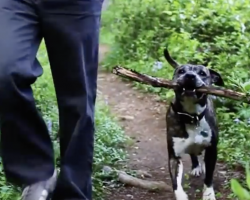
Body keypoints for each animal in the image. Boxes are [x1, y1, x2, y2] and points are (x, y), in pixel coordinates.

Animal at [164, 48, 225, 200]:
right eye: (181, 71)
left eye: (202, 73)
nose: (190, 76)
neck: (191, 116)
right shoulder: (174, 155)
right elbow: (175, 182)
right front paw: (181, 196)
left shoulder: (212, 149)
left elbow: (208, 177)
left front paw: (208, 195)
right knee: (193, 153)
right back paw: (196, 166)